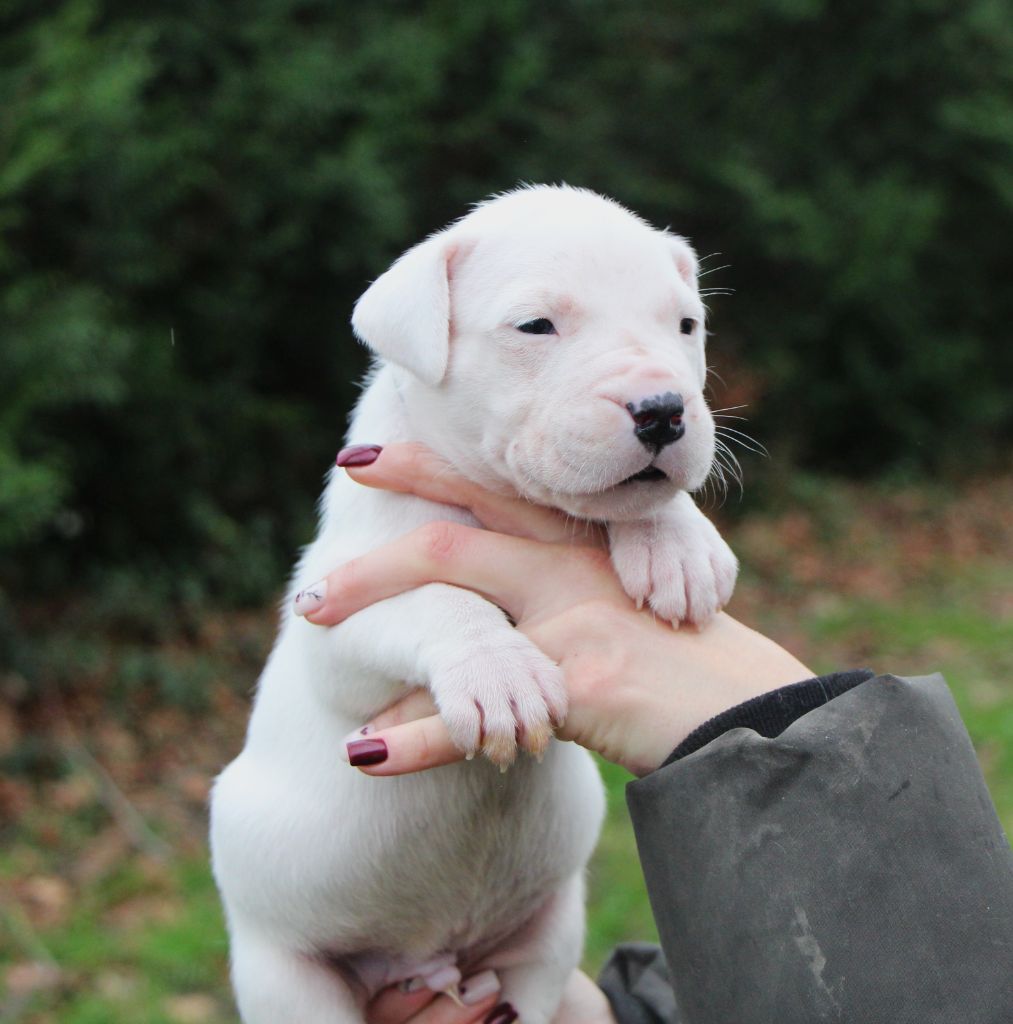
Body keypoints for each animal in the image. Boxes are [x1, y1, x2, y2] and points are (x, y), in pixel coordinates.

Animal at [210, 186, 733, 1024]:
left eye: (685, 326)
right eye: (536, 326)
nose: (662, 410)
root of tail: (420, 956)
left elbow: (639, 501)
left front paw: (677, 545)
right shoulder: (333, 612)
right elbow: (440, 598)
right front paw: (498, 674)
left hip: (546, 937)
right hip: (285, 977)